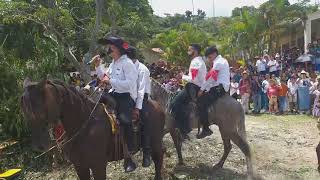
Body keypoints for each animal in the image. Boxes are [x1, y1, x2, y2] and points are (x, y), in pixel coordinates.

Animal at [20, 79, 165, 180]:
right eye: (24, 111)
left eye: (41, 109)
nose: (39, 146)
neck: (84, 126)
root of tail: (157, 105)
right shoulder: (80, 166)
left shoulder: (98, 165)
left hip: (156, 143)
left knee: (158, 160)